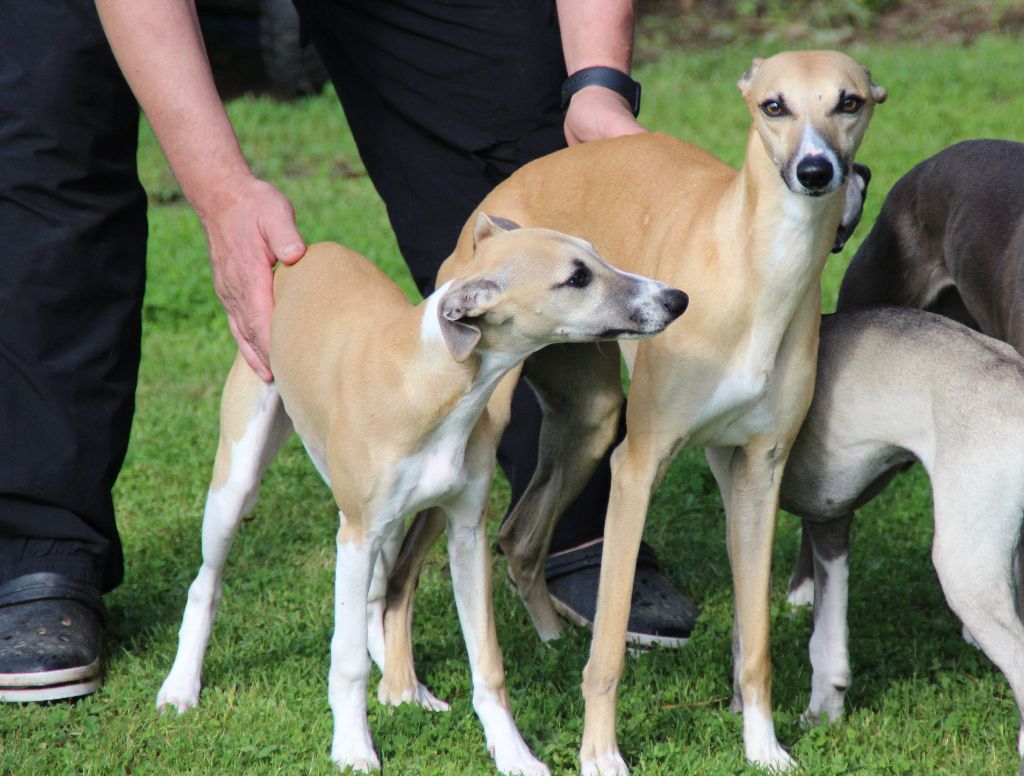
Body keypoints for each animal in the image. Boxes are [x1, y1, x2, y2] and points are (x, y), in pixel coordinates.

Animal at [154, 214, 688, 775]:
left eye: (595, 253)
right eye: (577, 277)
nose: (677, 299)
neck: (428, 380)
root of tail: (309, 252)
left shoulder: (465, 531)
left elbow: (487, 661)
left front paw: (513, 752)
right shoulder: (357, 535)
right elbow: (346, 660)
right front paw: (352, 747)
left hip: (388, 527)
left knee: (375, 598)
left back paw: (409, 686)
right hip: (240, 483)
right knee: (207, 582)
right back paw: (181, 687)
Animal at [377, 51, 886, 772]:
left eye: (849, 102)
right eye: (774, 106)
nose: (818, 172)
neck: (755, 271)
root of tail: (492, 213)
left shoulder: (758, 469)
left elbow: (755, 637)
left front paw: (762, 744)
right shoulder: (637, 465)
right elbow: (610, 645)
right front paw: (599, 753)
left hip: (590, 419)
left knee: (520, 536)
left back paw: (550, 640)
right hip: (479, 430)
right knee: (405, 567)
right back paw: (400, 686)